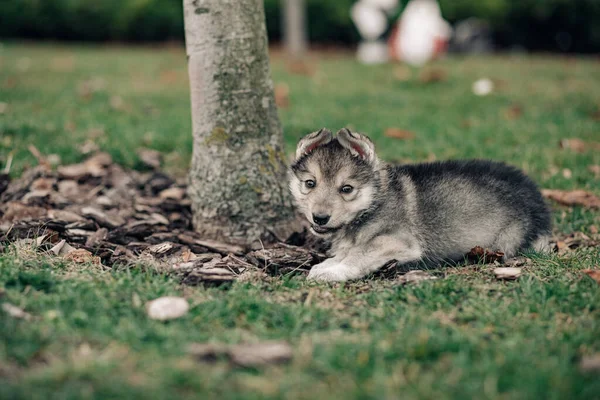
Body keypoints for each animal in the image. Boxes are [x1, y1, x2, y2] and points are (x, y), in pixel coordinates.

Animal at [288, 128, 552, 282]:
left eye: (346, 189)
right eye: (310, 183)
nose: (319, 218)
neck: (374, 203)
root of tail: (536, 197)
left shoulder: (397, 241)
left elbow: (360, 254)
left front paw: (333, 271)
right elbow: (349, 251)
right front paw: (328, 263)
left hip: (507, 239)